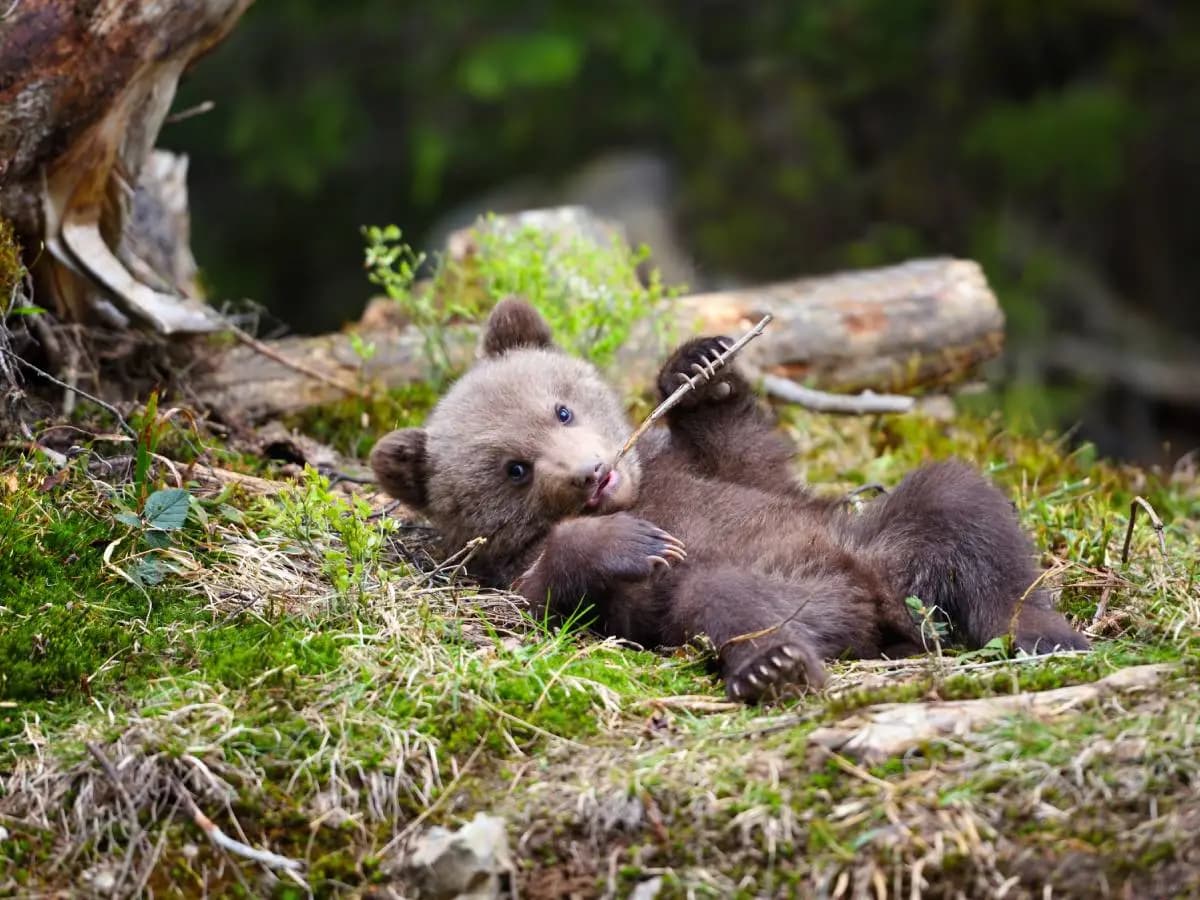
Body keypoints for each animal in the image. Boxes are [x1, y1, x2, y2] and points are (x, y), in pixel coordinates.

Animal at [370, 298, 1089, 701]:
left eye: (562, 409)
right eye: (514, 469)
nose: (592, 475)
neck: (643, 486)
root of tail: (880, 603)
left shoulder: (718, 474)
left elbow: (751, 455)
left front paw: (701, 366)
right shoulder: (507, 572)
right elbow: (536, 599)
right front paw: (629, 539)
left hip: (878, 538)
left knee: (963, 508)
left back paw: (1045, 634)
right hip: (771, 588)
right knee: (722, 595)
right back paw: (774, 665)